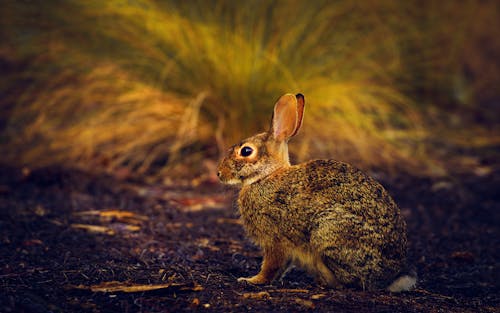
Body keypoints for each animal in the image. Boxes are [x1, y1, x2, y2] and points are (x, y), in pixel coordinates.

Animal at [217, 92, 416, 290]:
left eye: (246, 151)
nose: (219, 173)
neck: (267, 176)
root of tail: (390, 277)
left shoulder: (275, 239)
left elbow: (271, 266)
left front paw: (251, 280)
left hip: (327, 230)